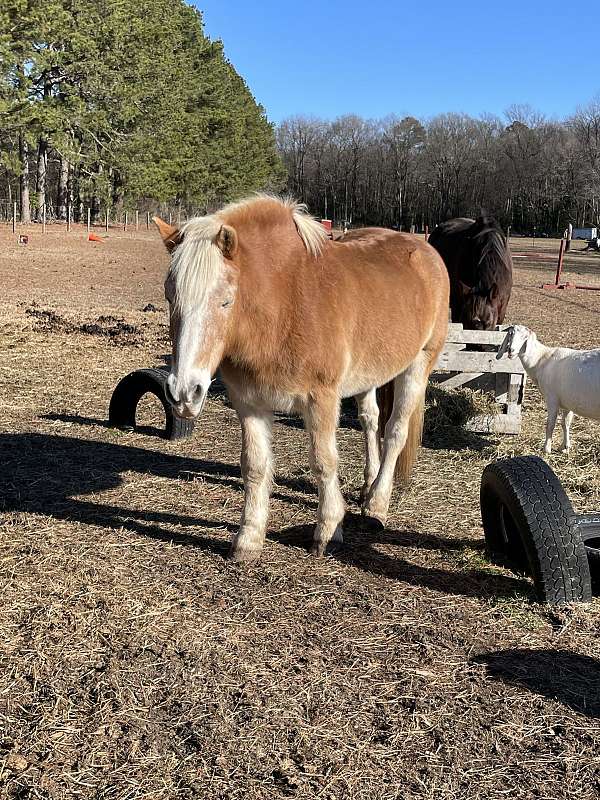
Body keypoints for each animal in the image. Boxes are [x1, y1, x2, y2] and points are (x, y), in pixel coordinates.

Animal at [155, 195, 450, 564]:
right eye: (169, 297)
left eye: (225, 301)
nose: (184, 393)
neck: (283, 304)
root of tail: (424, 248)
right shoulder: (249, 402)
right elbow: (254, 466)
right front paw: (248, 539)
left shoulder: (320, 399)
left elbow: (324, 462)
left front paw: (328, 531)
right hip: (369, 375)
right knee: (371, 421)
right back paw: (367, 486)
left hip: (418, 364)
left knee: (395, 431)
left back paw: (376, 506)